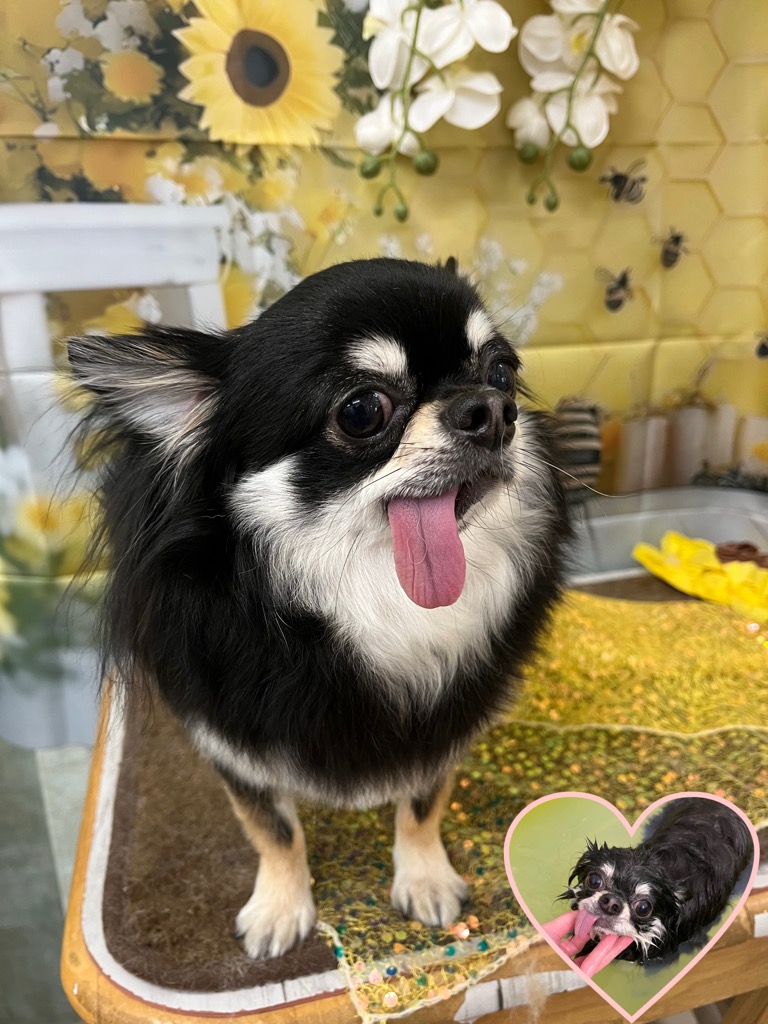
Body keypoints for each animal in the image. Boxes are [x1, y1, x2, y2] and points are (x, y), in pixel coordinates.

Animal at [68, 257, 570, 959]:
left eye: (501, 371)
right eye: (361, 410)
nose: (495, 409)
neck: (376, 602)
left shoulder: (441, 727)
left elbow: (422, 806)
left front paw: (425, 878)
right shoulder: (235, 743)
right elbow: (275, 831)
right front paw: (281, 907)